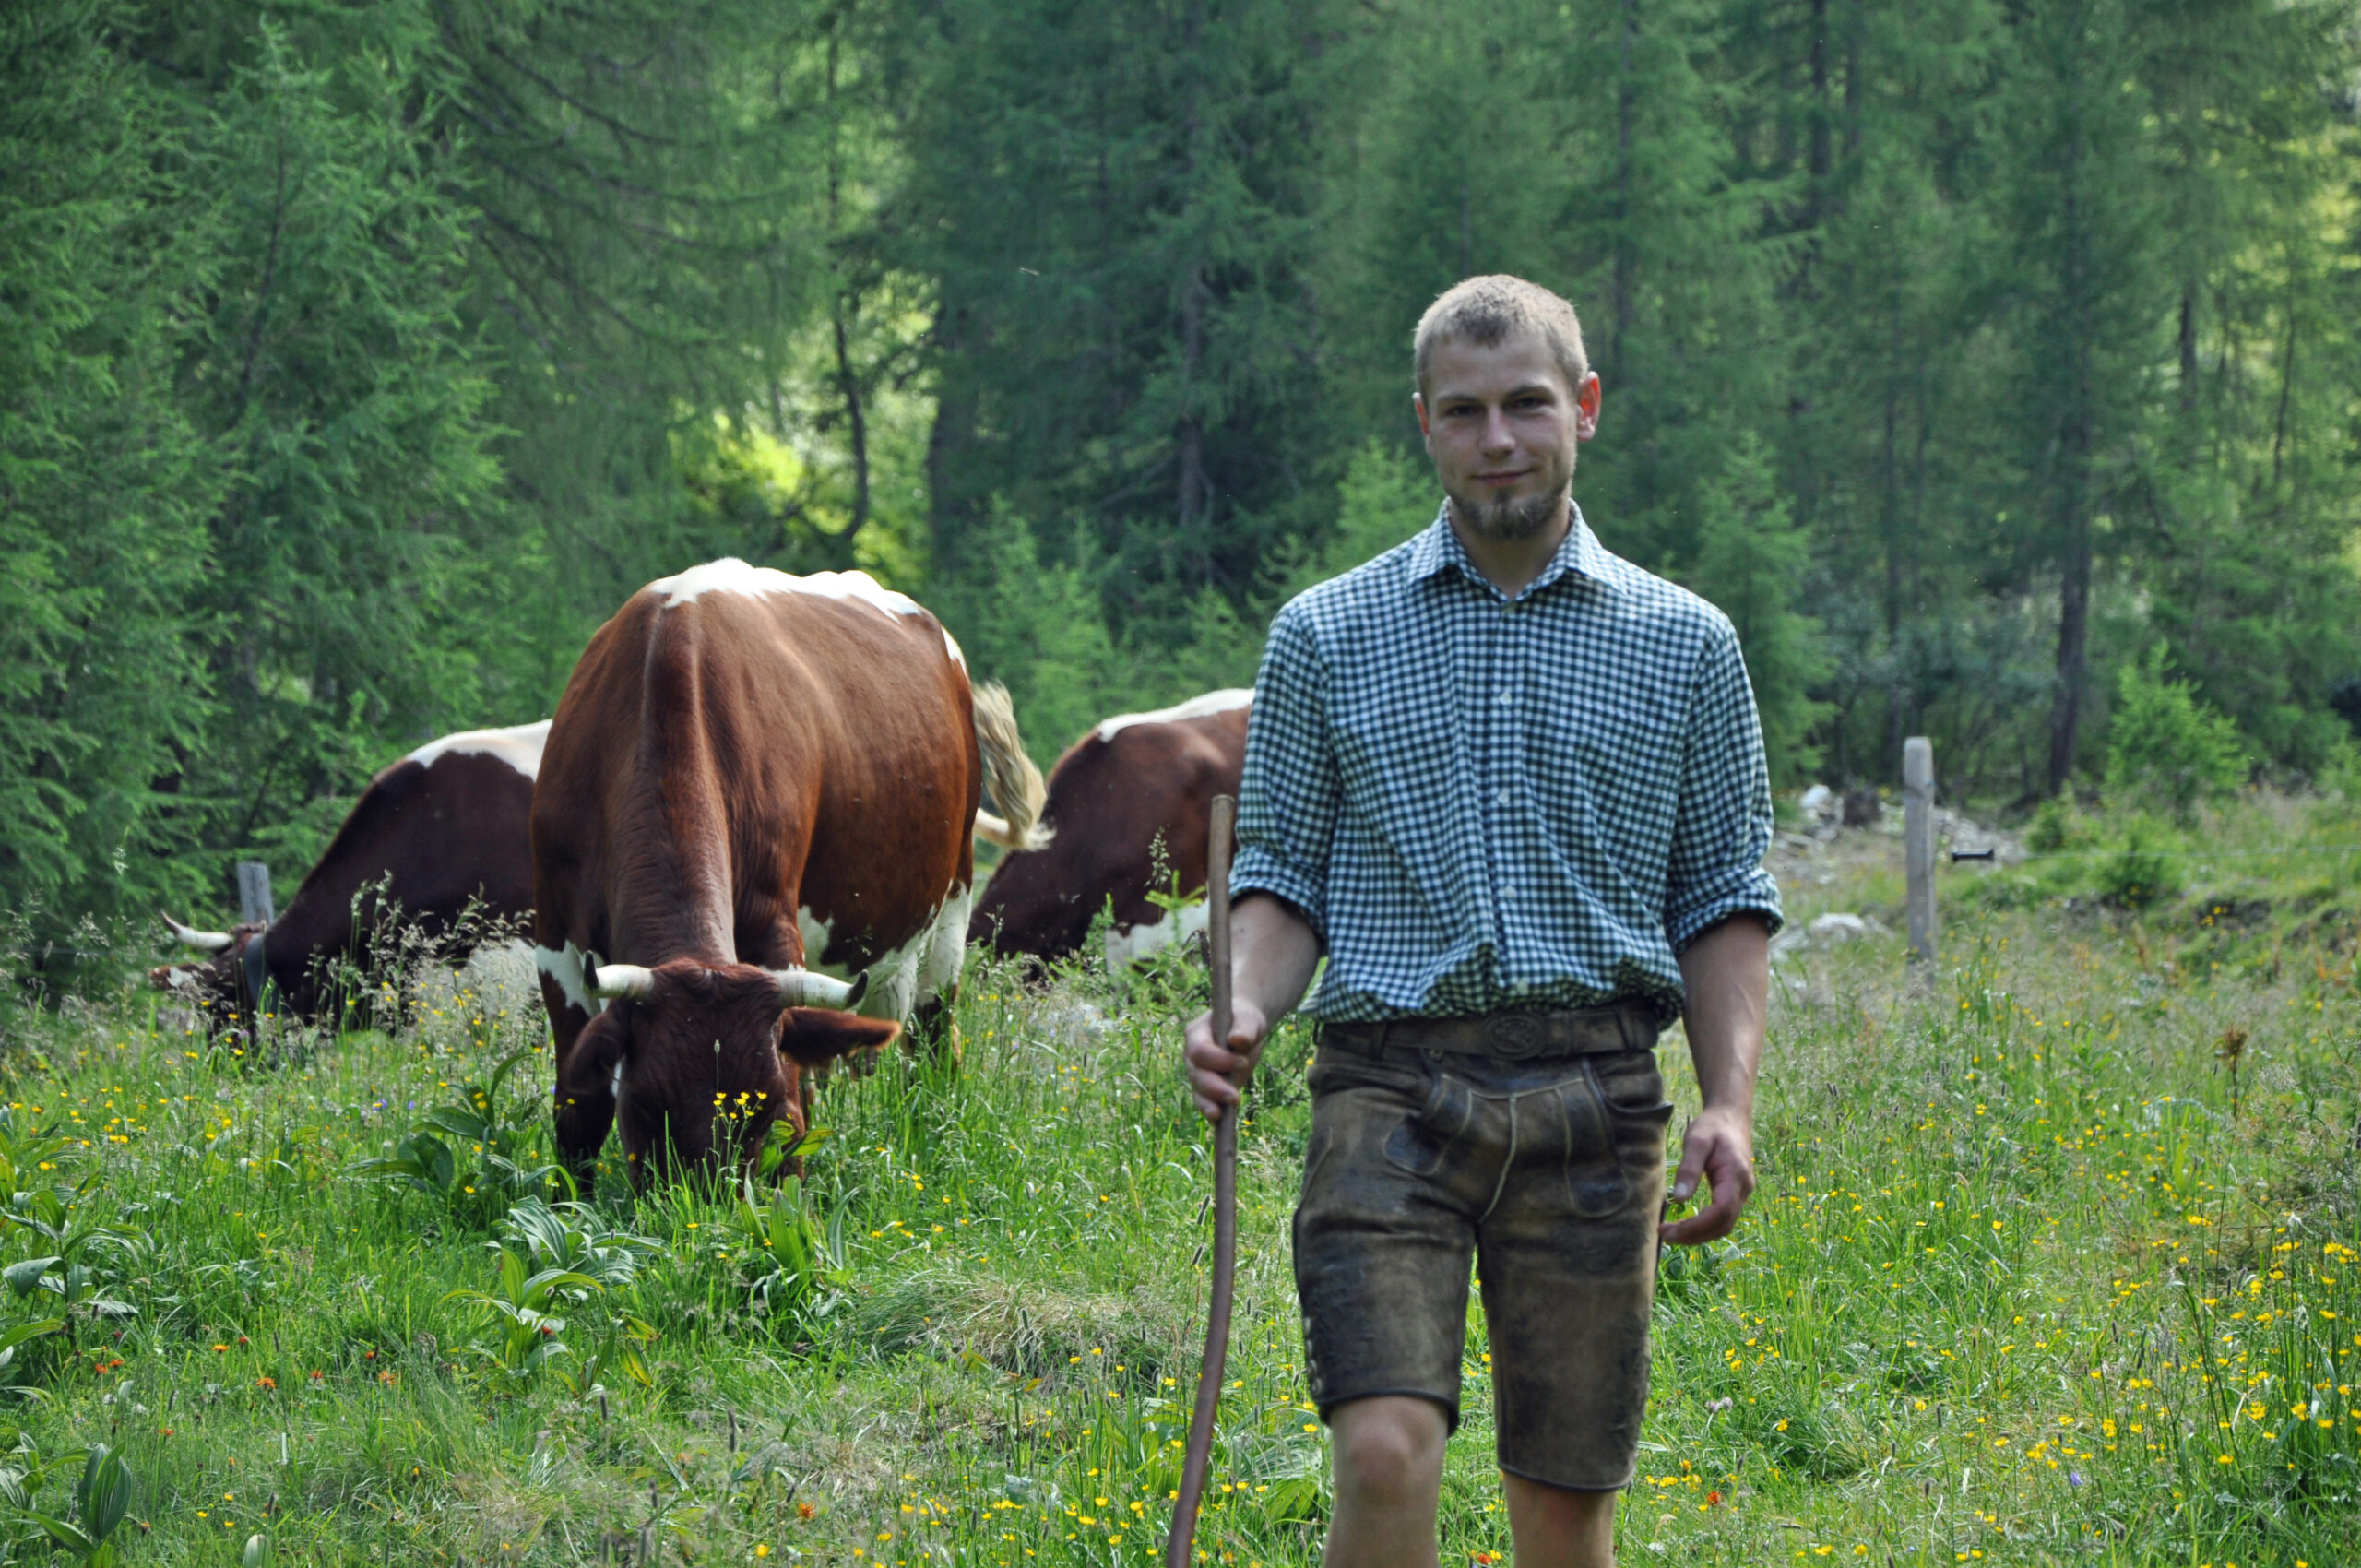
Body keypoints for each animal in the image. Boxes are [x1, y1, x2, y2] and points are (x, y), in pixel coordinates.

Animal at [536, 559, 1052, 1190]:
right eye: (645, 1107)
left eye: (765, 1113)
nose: (703, 1211)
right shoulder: (554, 940)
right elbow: (579, 1110)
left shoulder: (772, 926)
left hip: (950, 908)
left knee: (933, 1050)